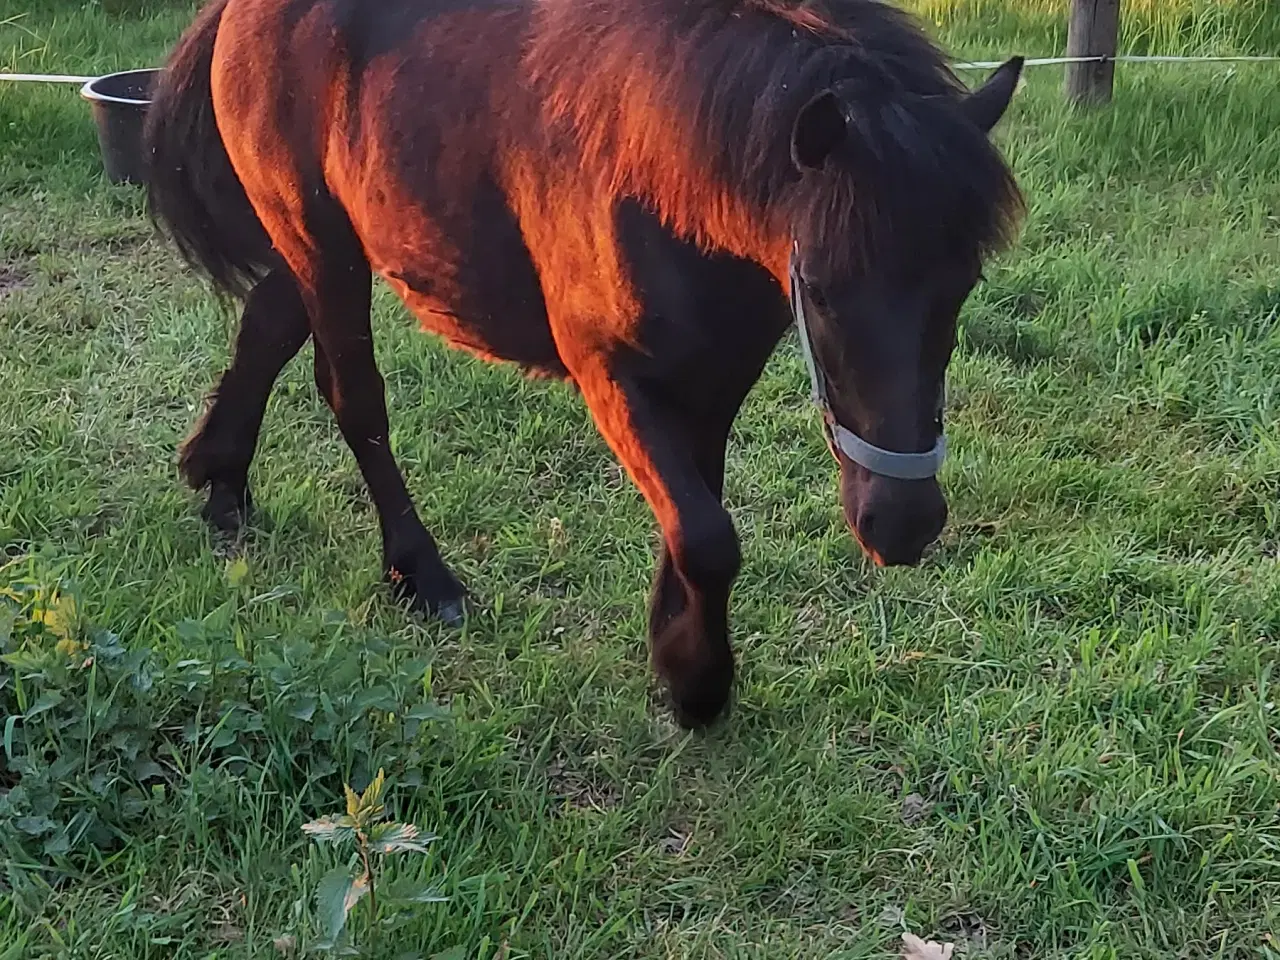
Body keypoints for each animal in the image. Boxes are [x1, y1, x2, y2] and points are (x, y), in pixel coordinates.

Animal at [145, 0, 1024, 727]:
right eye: (821, 288)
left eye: (964, 281)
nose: (904, 524)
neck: (659, 166)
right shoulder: (610, 371)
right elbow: (707, 532)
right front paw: (698, 681)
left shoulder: (717, 371)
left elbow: (696, 511)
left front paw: (677, 645)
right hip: (322, 242)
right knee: (352, 395)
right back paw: (421, 575)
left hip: (331, 242)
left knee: (267, 325)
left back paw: (222, 483)